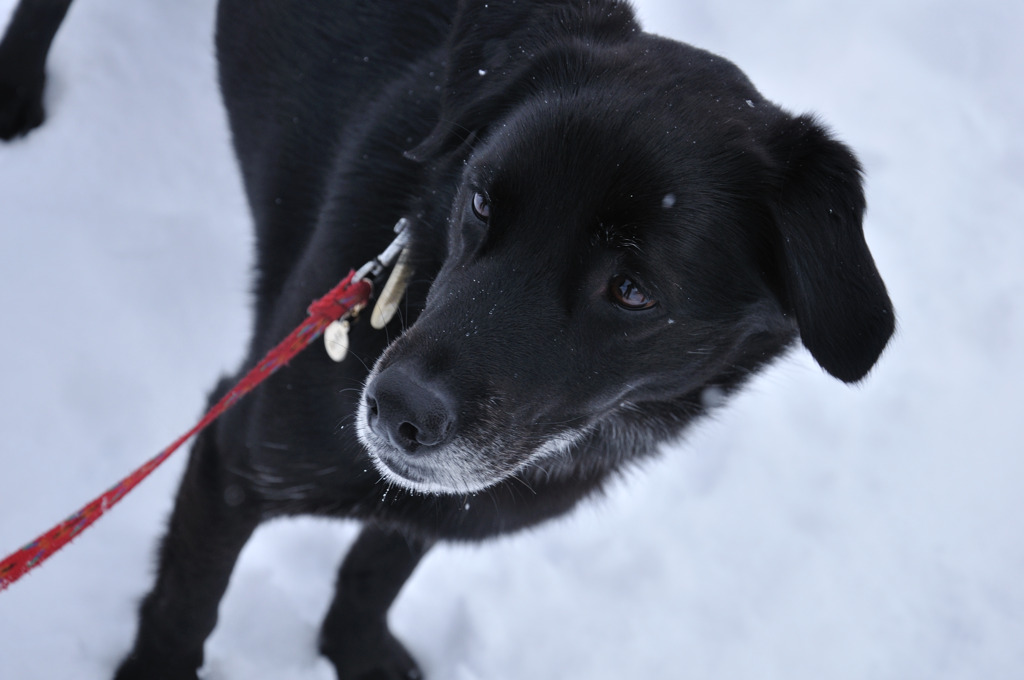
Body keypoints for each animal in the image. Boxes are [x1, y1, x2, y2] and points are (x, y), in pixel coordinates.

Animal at [4, 0, 892, 675]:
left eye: (633, 291)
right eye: (481, 200)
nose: (394, 407)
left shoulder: (442, 498)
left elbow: (378, 567)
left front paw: (357, 652)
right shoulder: (232, 453)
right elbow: (186, 605)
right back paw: (19, 84)